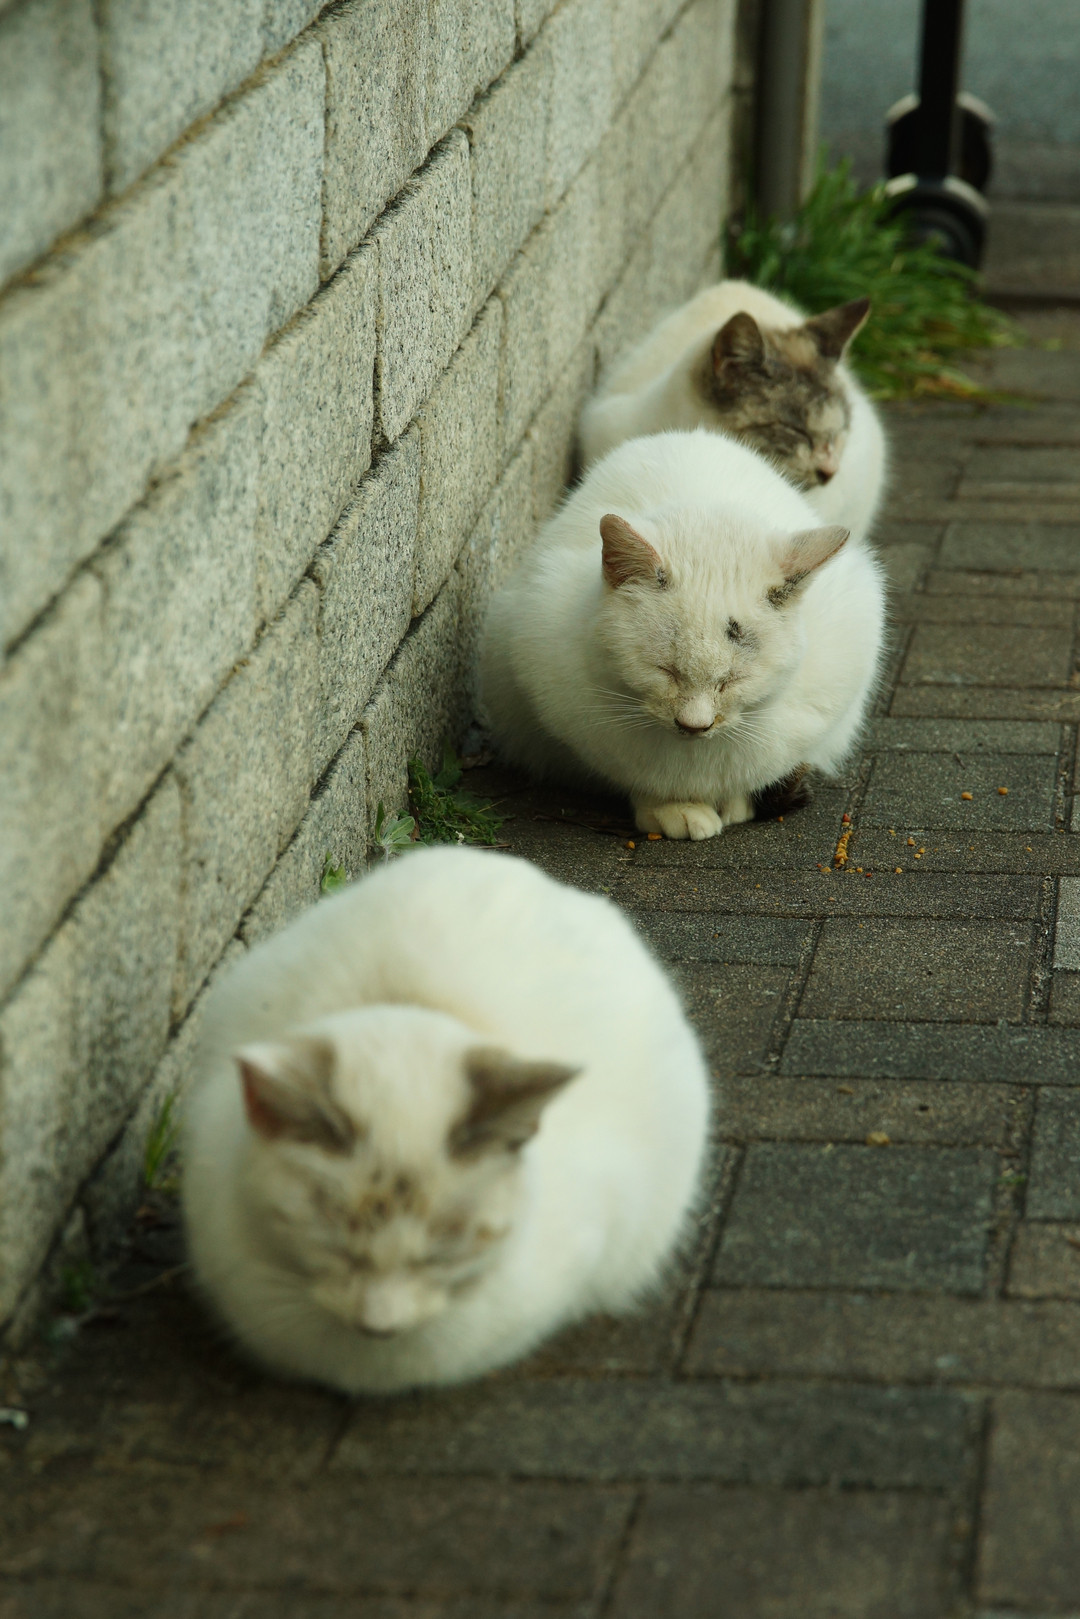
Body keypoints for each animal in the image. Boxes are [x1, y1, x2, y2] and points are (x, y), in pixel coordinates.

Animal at [480, 429, 885, 839]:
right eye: (665, 671)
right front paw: (672, 808)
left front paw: (735, 802)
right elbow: (637, 775)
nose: (694, 726)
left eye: (732, 680)